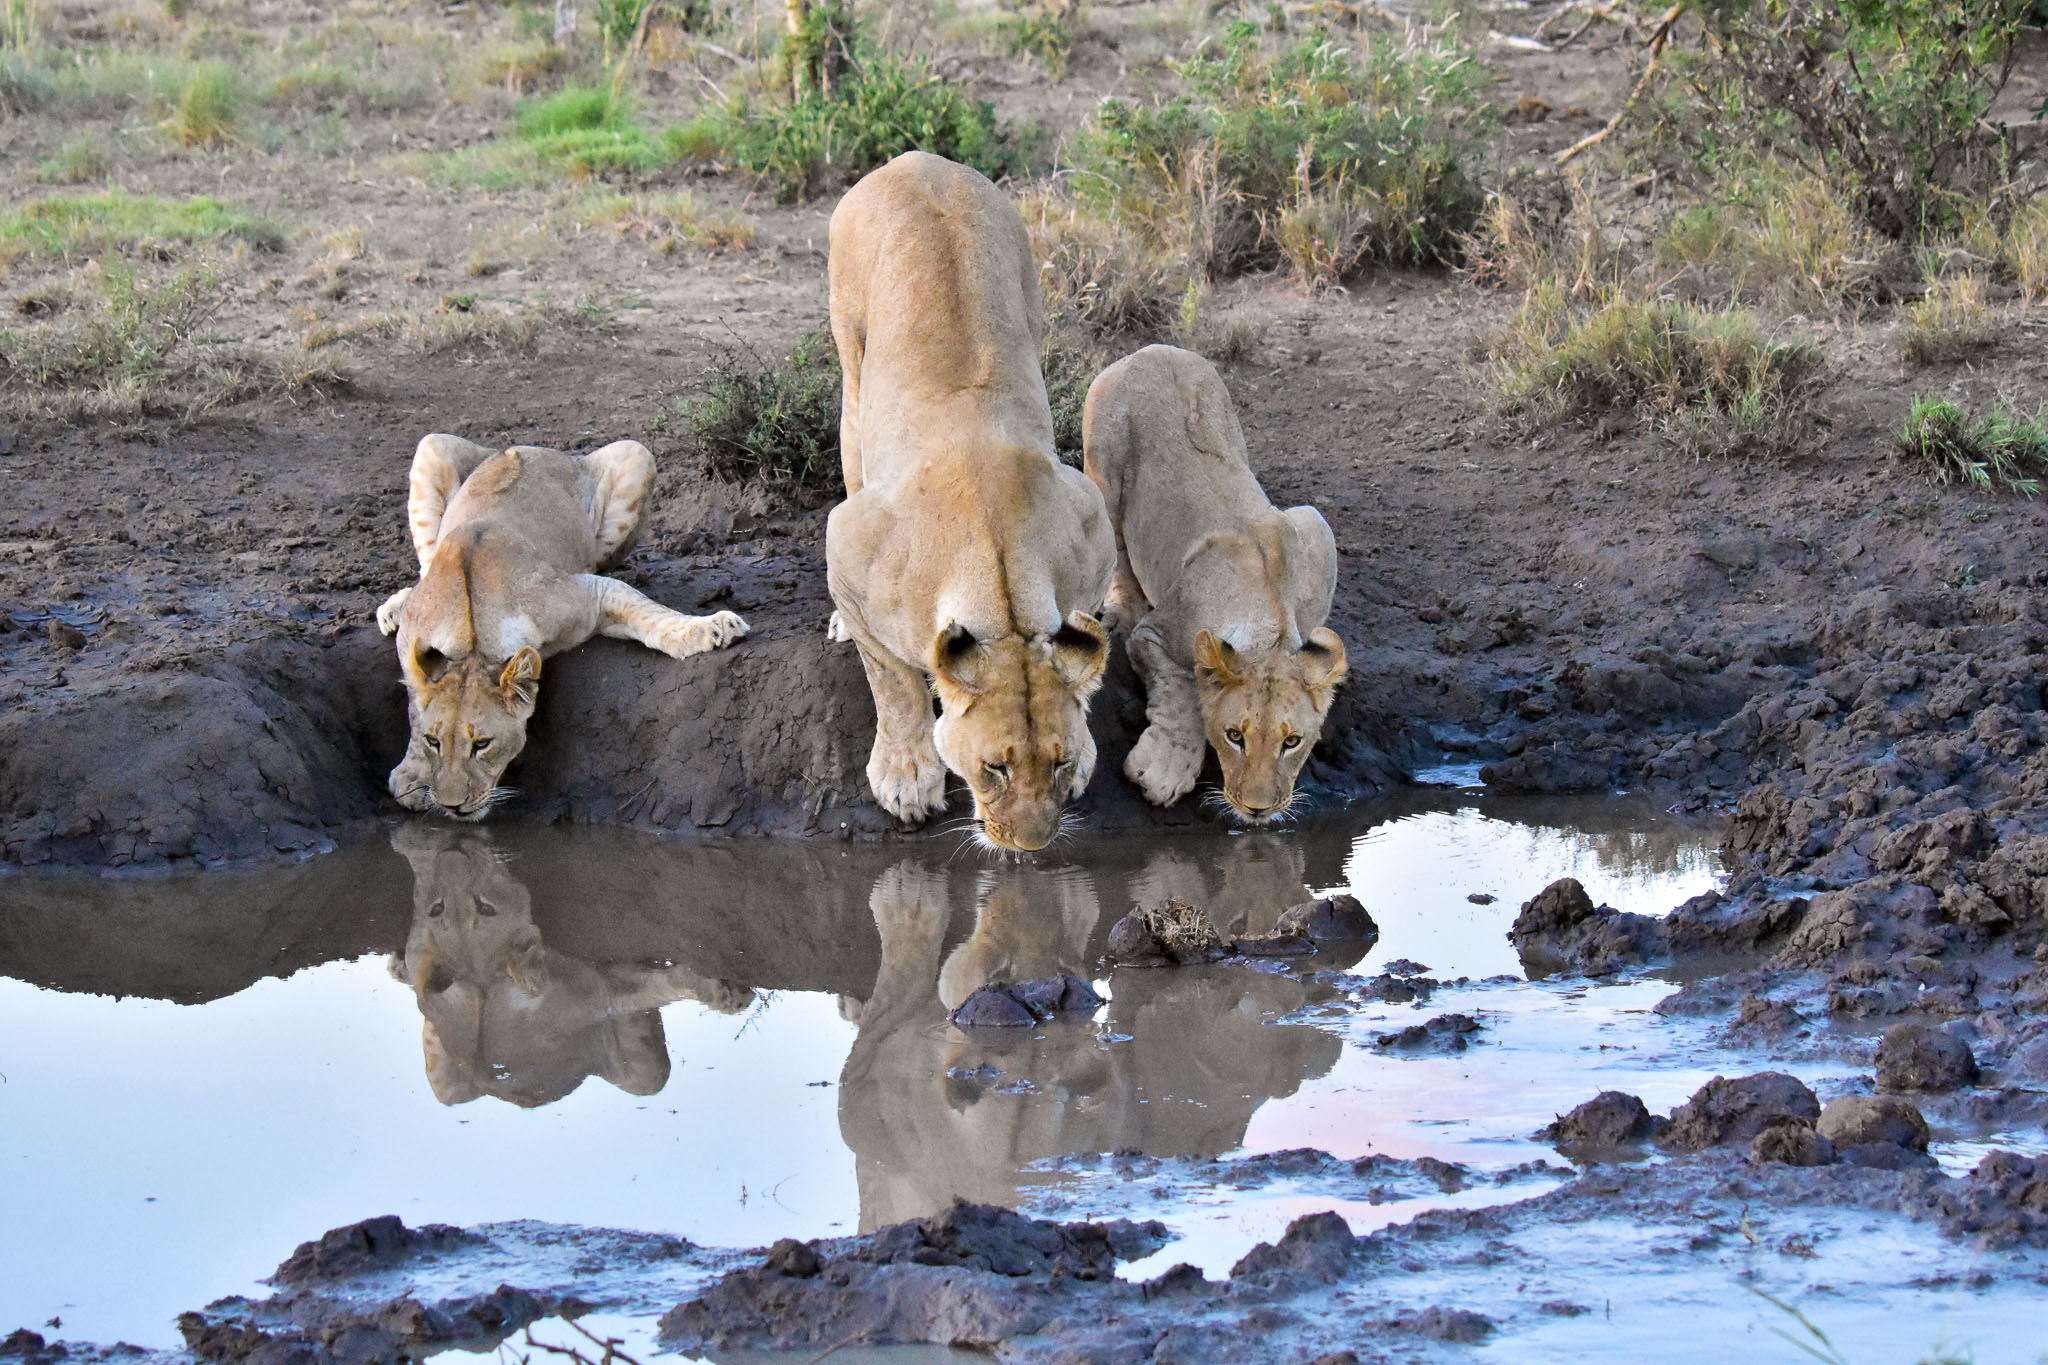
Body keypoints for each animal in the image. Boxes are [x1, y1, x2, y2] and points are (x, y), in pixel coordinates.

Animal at [376, 433, 748, 820]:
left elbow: (649, 613)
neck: (474, 639)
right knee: (425, 565)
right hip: (431, 445)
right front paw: (411, 775)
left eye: (482, 744)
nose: (453, 807)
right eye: (434, 742)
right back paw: (394, 607)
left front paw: (710, 627)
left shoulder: (586, 592)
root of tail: (527, 446)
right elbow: (414, 702)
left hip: (637, 456)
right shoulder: (414, 634)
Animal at [824, 151, 1116, 852]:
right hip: (852, 362)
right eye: (995, 768)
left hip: (1031, 293)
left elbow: (1083, 648)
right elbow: (894, 680)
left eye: (1058, 762)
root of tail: (915, 159)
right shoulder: (848, 540)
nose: (1032, 845)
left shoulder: (1091, 526)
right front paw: (906, 775)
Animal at [1081, 344, 1348, 821]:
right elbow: (1184, 689)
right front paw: (1163, 770)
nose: (1259, 810)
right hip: (1103, 465)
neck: (1271, 616)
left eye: (1292, 742)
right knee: (1118, 550)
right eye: (1234, 736)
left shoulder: (1315, 528)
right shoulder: (1156, 634)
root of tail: (1149, 350)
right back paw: (1120, 611)